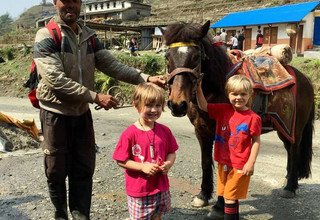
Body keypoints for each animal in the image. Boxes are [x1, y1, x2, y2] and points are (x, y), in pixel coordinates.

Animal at [164, 20, 314, 206]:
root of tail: (306, 79)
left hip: (295, 128)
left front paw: (222, 201)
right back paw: (288, 181)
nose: (177, 104)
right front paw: (203, 195)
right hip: (283, 128)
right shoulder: (201, 130)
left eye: (196, 57)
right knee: (289, 149)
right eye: (167, 57)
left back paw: (290, 187)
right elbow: (205, 161)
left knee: (294, 150)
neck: (219, 86)